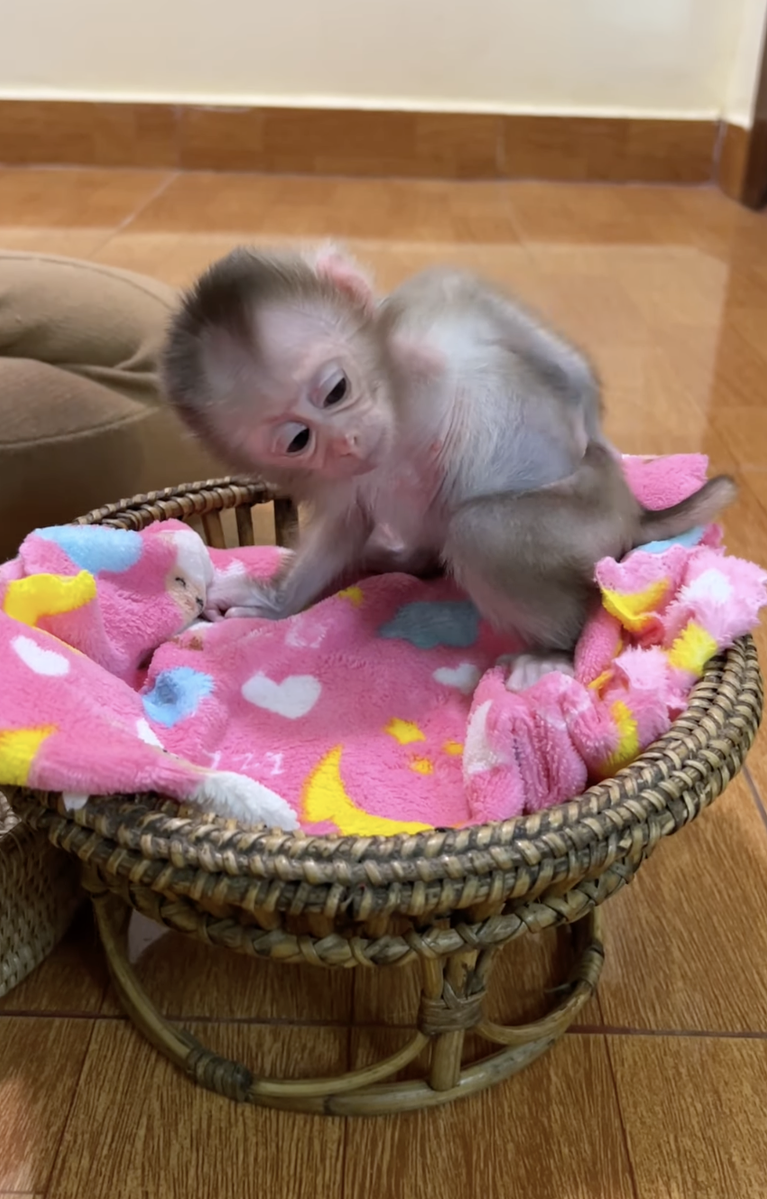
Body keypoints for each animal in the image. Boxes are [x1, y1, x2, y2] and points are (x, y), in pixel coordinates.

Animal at [161, 244, 736, 685]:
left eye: (336, 390)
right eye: (300, 439)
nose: (347, 441)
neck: (396, 404)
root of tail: (633, 514)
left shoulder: (422, 326)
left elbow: (500, 320)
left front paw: (582, 412)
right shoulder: (338, 478)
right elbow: (343, 526)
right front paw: (274, 603)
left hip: (591, 513)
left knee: (483, 532)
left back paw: (556, 651)